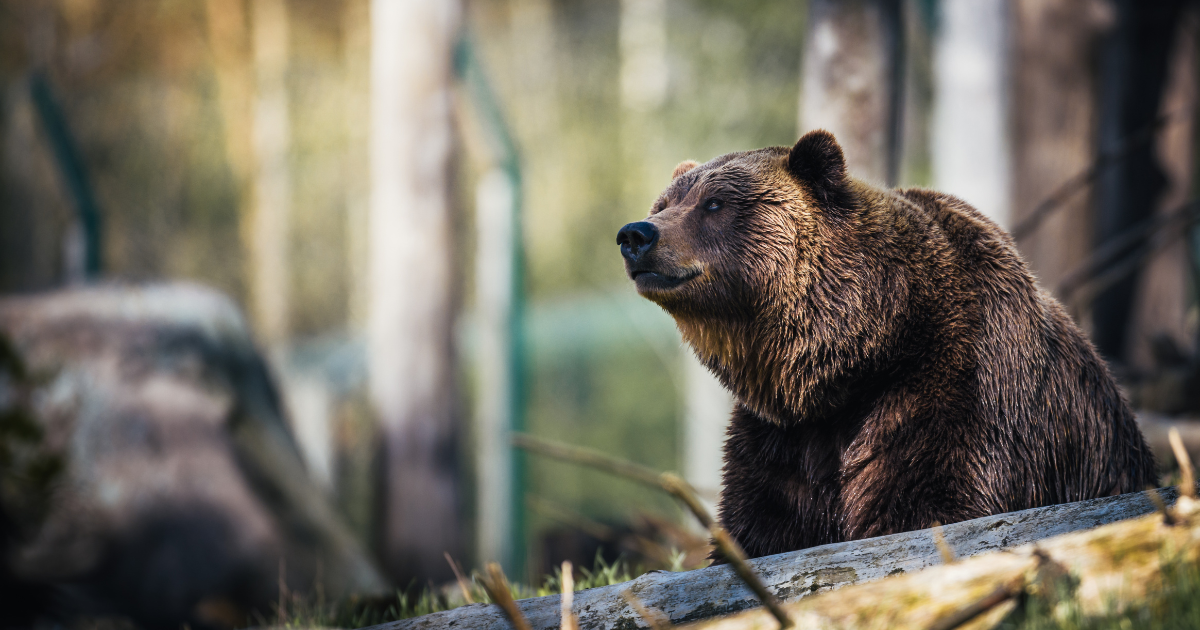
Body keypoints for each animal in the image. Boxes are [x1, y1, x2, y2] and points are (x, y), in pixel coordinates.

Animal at [616, 130, 1158, 559]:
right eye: (664, 204)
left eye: (715, 204)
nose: (636, 234)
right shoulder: (782, 437)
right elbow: (763, 525)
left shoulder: (956, 390)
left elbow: (928, 504)